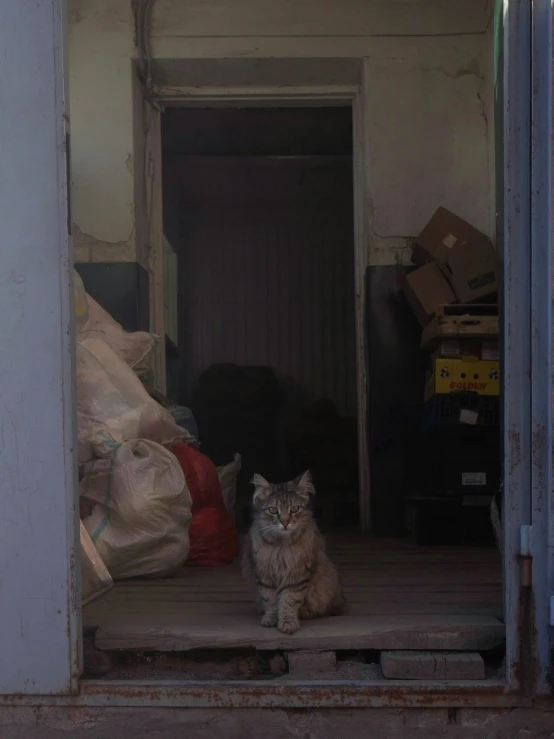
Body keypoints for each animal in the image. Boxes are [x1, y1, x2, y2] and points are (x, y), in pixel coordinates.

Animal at [240, 474, 342, 636]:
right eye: (273, 510)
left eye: (294, 509)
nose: (285, 522)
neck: (281, 546)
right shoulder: (265, 574)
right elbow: (270, 600)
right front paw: (270, 619)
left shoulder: (297, 574)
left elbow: (288, 600)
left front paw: (288, 623)